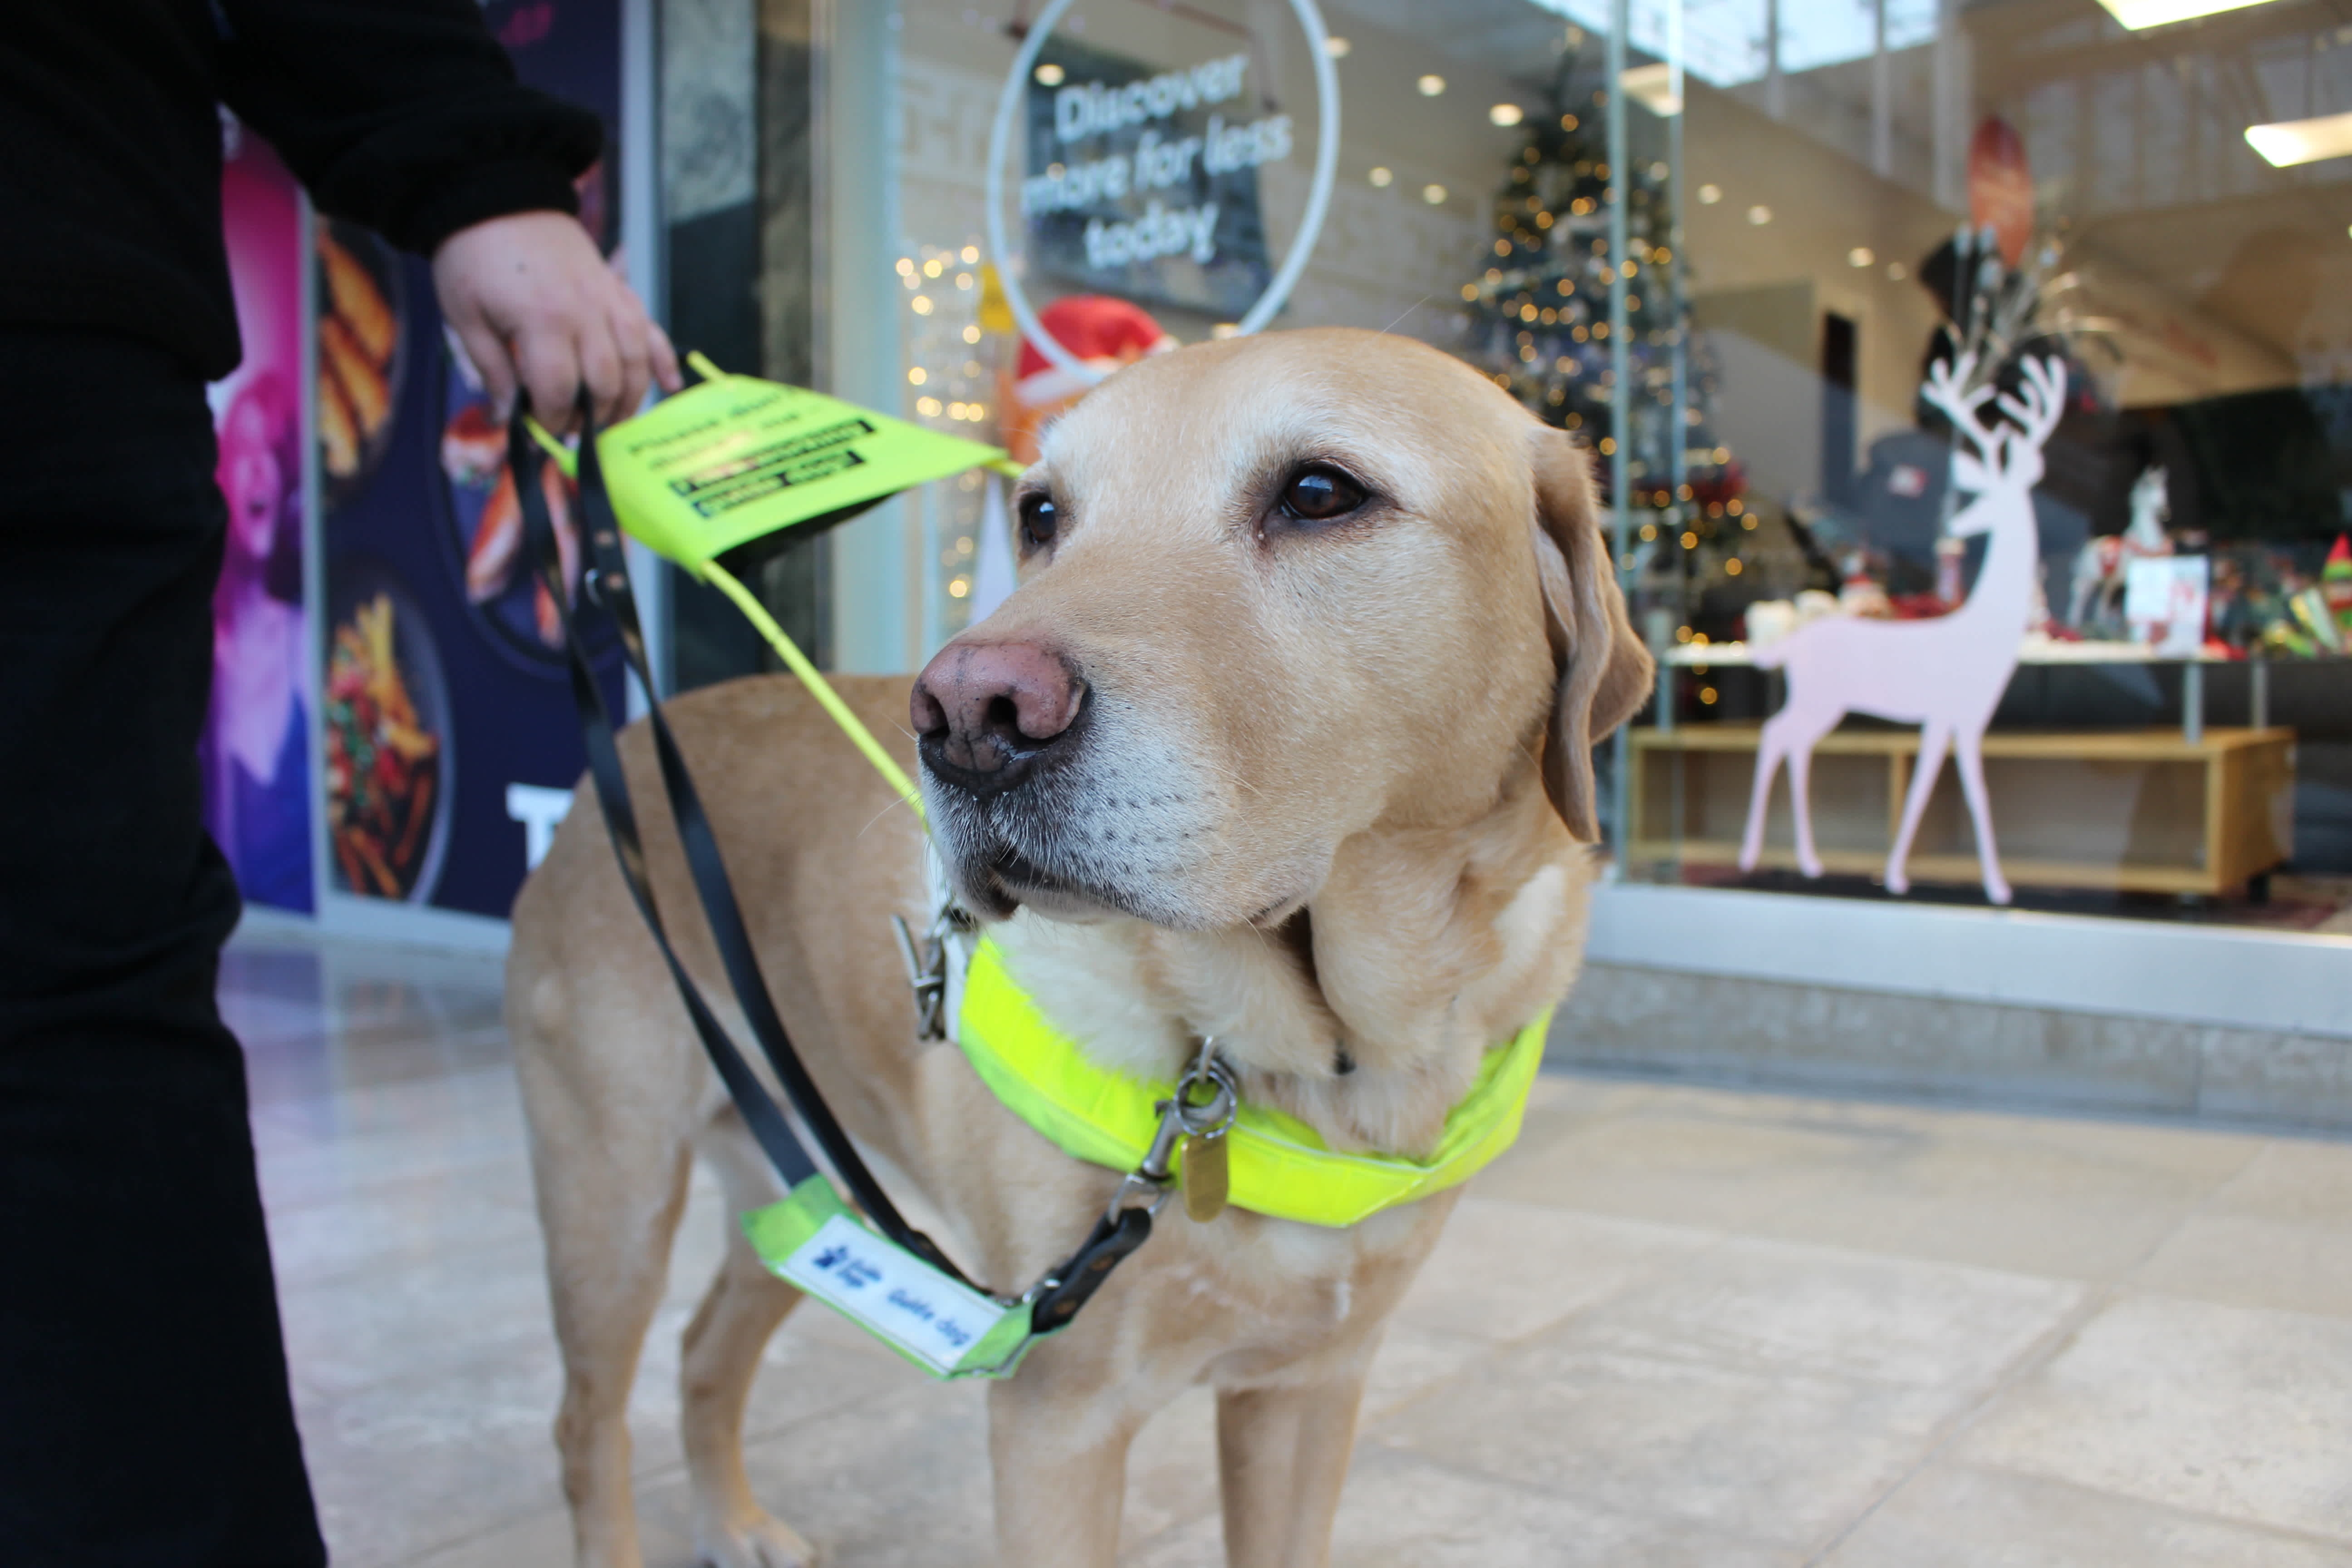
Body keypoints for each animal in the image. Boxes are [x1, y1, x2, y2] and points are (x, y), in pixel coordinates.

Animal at [510, 324, 1656, 1561]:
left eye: (1319, 494)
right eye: (1043, 515)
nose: (967, 715)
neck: (1323, 1055)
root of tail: (629, 746)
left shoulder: (1308, 1389)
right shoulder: (1055, 1416)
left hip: (820, 1180)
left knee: (704, 1345)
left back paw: (734, 1518)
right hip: (613, 1190)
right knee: (584, 1422)